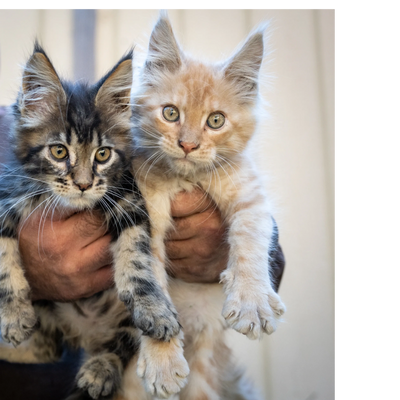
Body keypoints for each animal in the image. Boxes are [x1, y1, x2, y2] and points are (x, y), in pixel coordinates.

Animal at [0, 44, 180, 400]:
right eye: (58, 152)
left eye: (102, 155)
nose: (83, 184)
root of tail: (83, 332)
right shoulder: (6, 196)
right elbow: (4, 259)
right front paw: (13, 314)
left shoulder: (128, 201)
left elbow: (137, 261)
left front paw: (154, 308)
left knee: (119, 344)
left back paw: (99, 371)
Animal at [117, 14, 286, 398]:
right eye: (170, 113)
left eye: (216, 120)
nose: (188, 145)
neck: (186, 179)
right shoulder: (146, 218)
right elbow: (150, 285)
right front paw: (163, 362)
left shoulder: (250, 198)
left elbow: (251, 246)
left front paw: (252, 303)